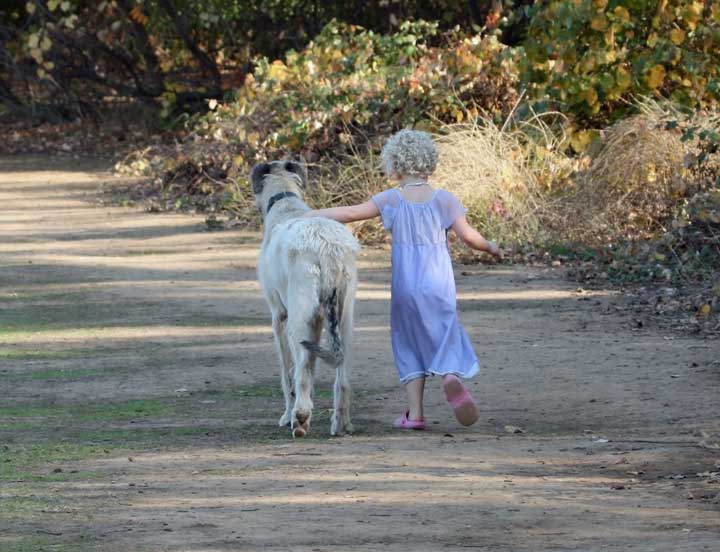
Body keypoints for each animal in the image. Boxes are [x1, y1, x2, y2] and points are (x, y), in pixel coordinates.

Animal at [250, 161, 360, 440]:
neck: (286, 203)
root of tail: (328, 248)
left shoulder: (280, 316)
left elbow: (288, 370)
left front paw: (287, 414)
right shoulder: (319, 319)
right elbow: (311, 365)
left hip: (298, 318)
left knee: (299, 370)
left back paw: (299, 417)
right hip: (344, 314)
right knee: (342, 374)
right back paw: (341, 423)